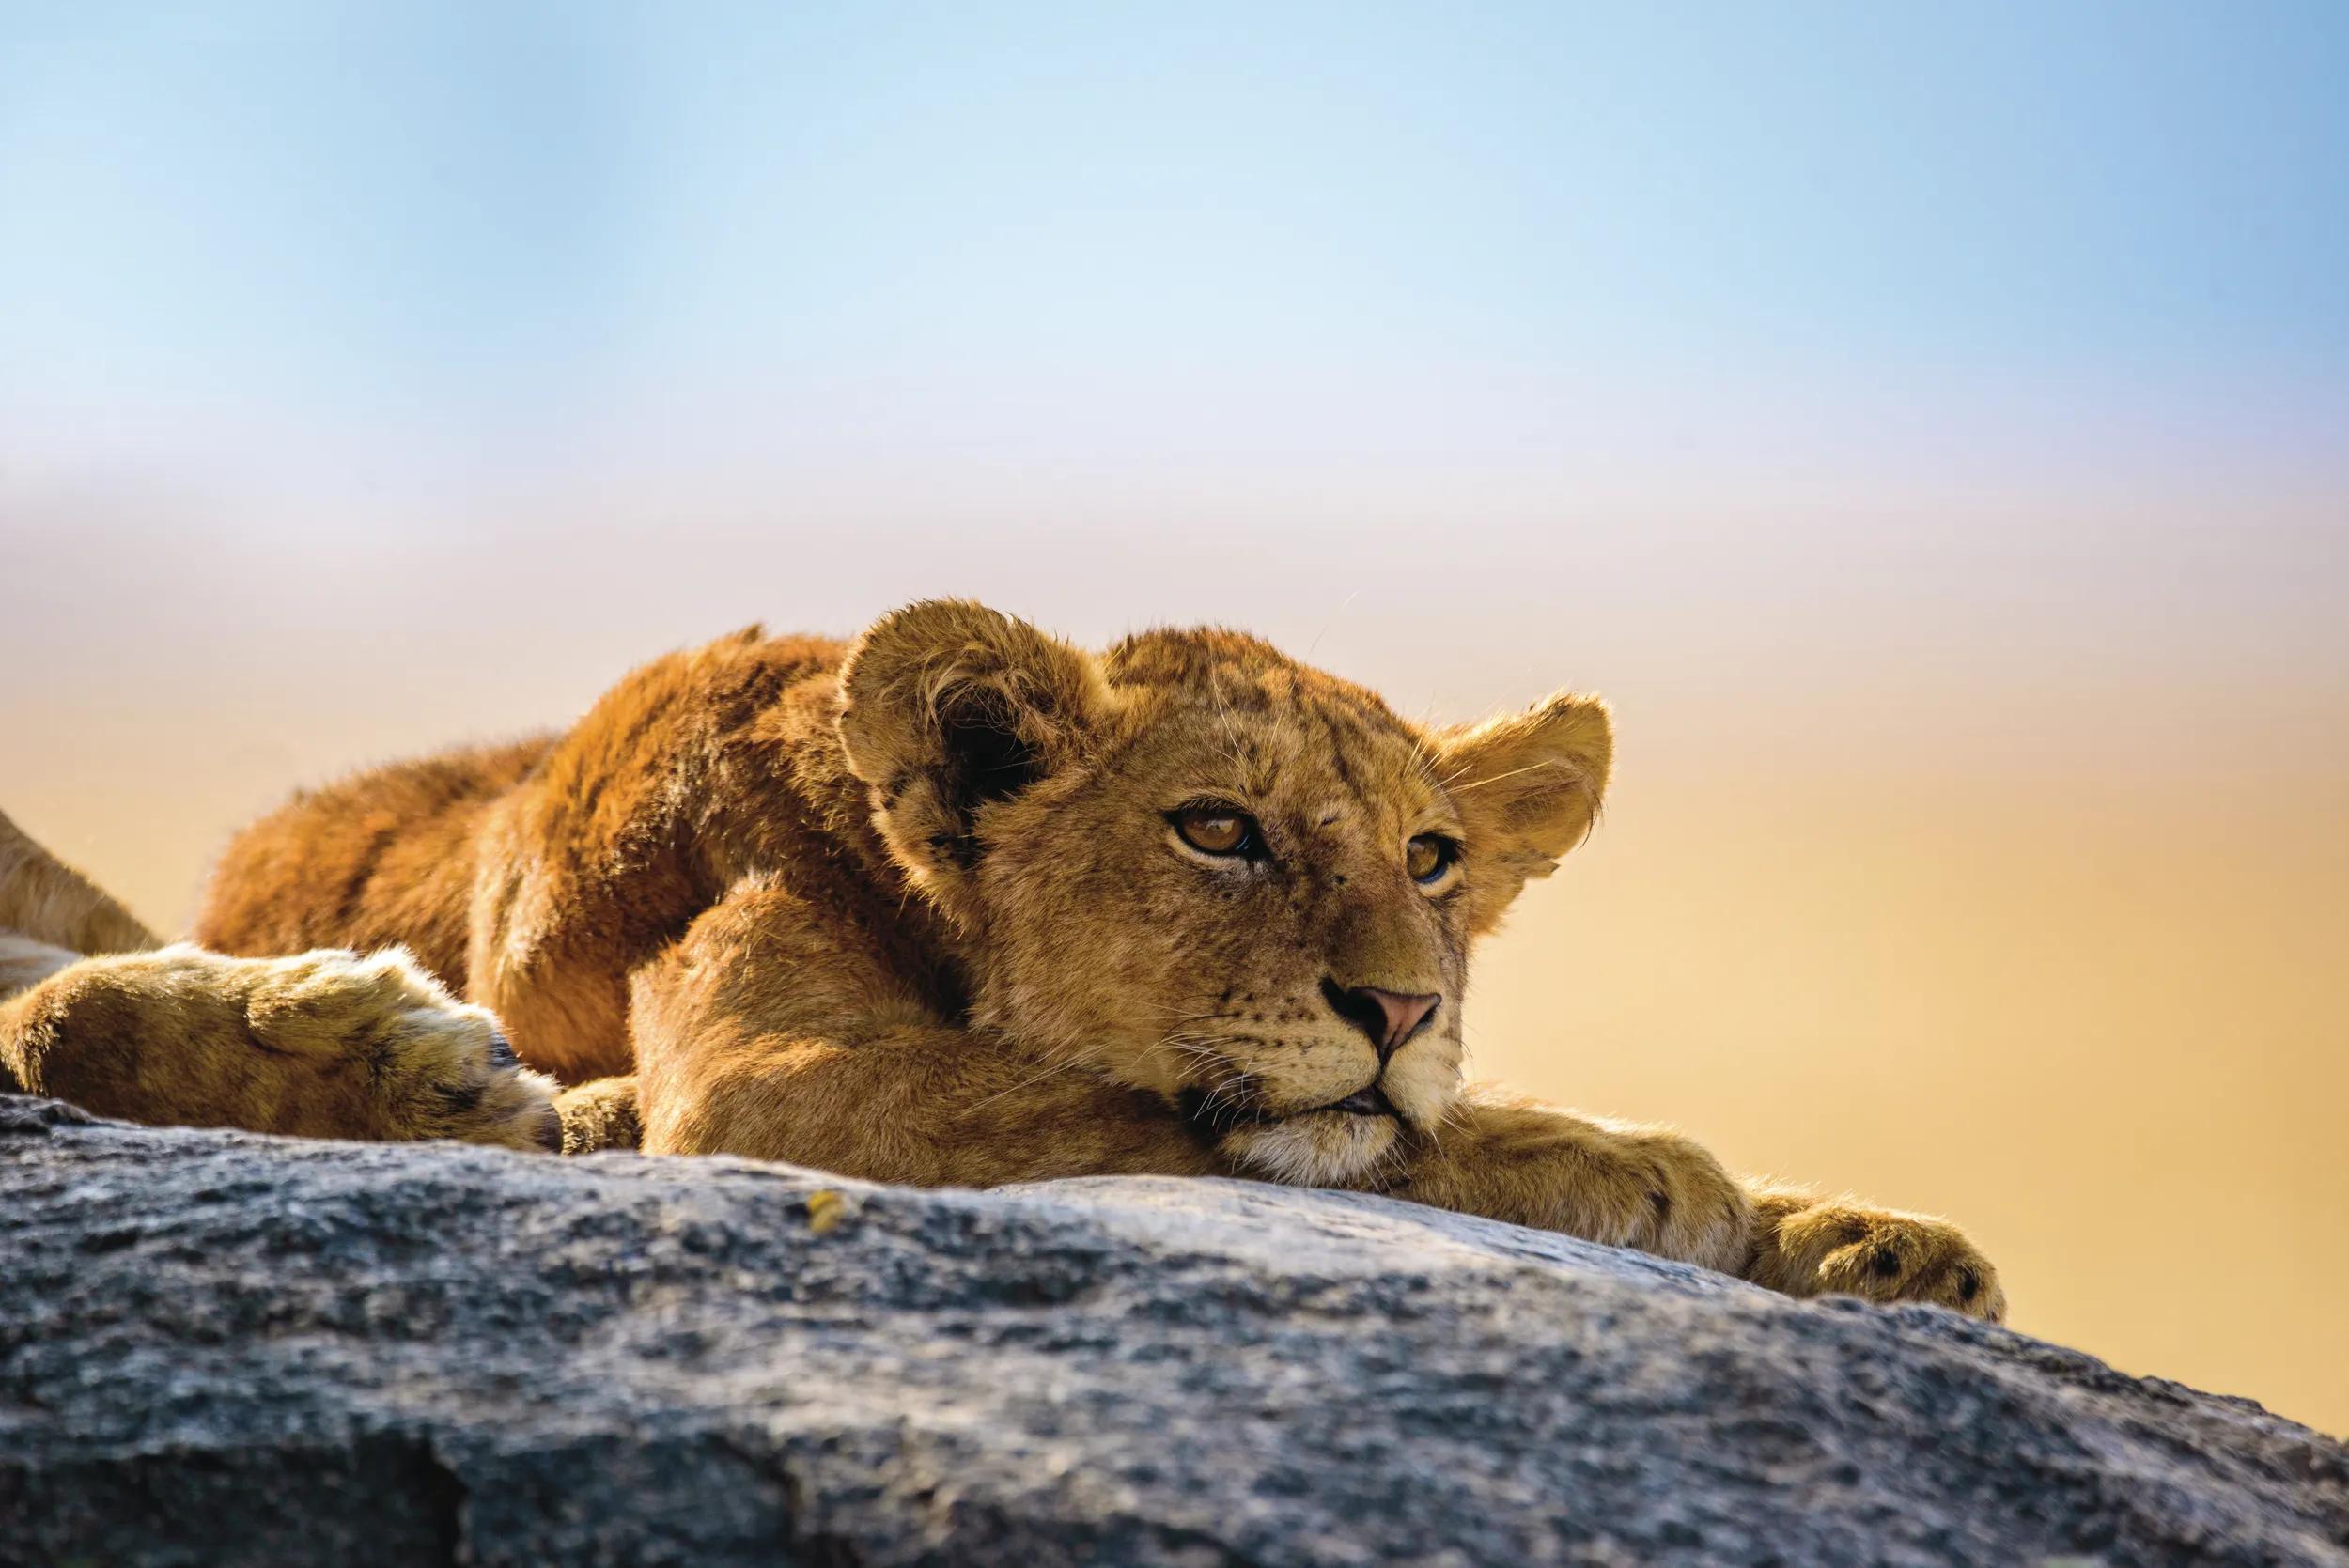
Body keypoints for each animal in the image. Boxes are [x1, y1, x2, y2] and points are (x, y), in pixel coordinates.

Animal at [0, 601, 2002, 1318]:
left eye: (1432, 859)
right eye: (1220, 829)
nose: (1408, 1003)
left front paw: (1872, 1238)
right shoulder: (782, 1084)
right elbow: (1260, 1126)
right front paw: (1651, 1170)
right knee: (51, 1012)